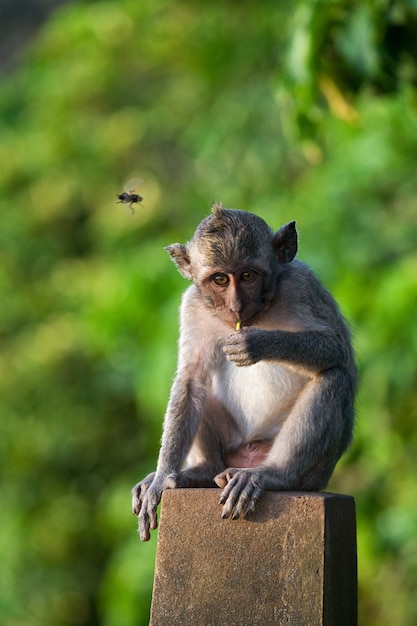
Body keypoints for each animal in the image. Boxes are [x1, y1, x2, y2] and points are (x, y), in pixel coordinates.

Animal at [132, 202, 356, 540]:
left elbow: (338, 350)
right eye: (220, 280)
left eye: (248, 275)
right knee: (198, 392)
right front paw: (161, 479)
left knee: (334, 379)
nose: (236, 305)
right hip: (232, 447)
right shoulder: (193, 305)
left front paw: (258, 342)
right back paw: (201, 472)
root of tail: (248, 455)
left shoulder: (303, 285)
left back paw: (273, 474)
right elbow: (191, 380)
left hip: (312, 470)